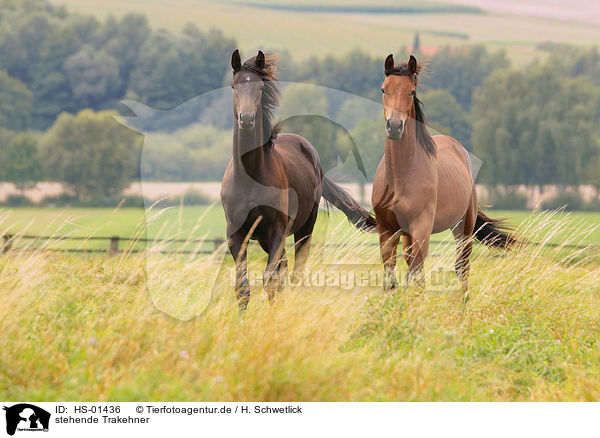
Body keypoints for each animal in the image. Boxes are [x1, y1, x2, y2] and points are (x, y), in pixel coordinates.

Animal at [220, 50, 376, 312]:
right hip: (267, 239)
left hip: (304, 229)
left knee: (294, 273)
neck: (251, 177)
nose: (247, 119)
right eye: (233, 85)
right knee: (283, 270)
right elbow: (243, 287)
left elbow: (270, 279)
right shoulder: (236, 234)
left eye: (260, 88)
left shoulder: (276, 230)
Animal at [370, 54, 516, 294]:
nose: (395, 127)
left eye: (411, 91)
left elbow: (415, 273)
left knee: (462, 267)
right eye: (384, 89)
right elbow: (391, 278)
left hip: (463, 227)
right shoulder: (387, 230)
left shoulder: (421, 228)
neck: (400, 176)